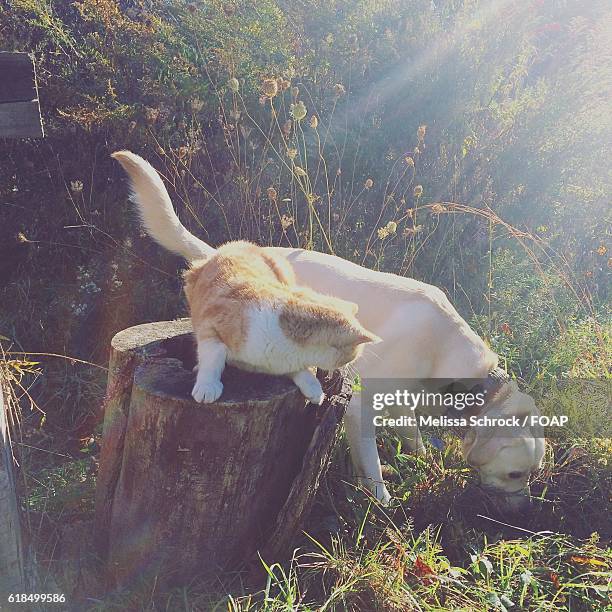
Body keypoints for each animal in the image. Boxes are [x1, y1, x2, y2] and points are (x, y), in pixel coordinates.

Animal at [113, 151, 380, 404]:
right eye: (353, 355)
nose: (350, 365)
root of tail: (222, 250)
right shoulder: (211, 326)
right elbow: (212, 356)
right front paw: (207, 385)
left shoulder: (282, 363)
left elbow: (298, 370)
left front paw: (312, 386)